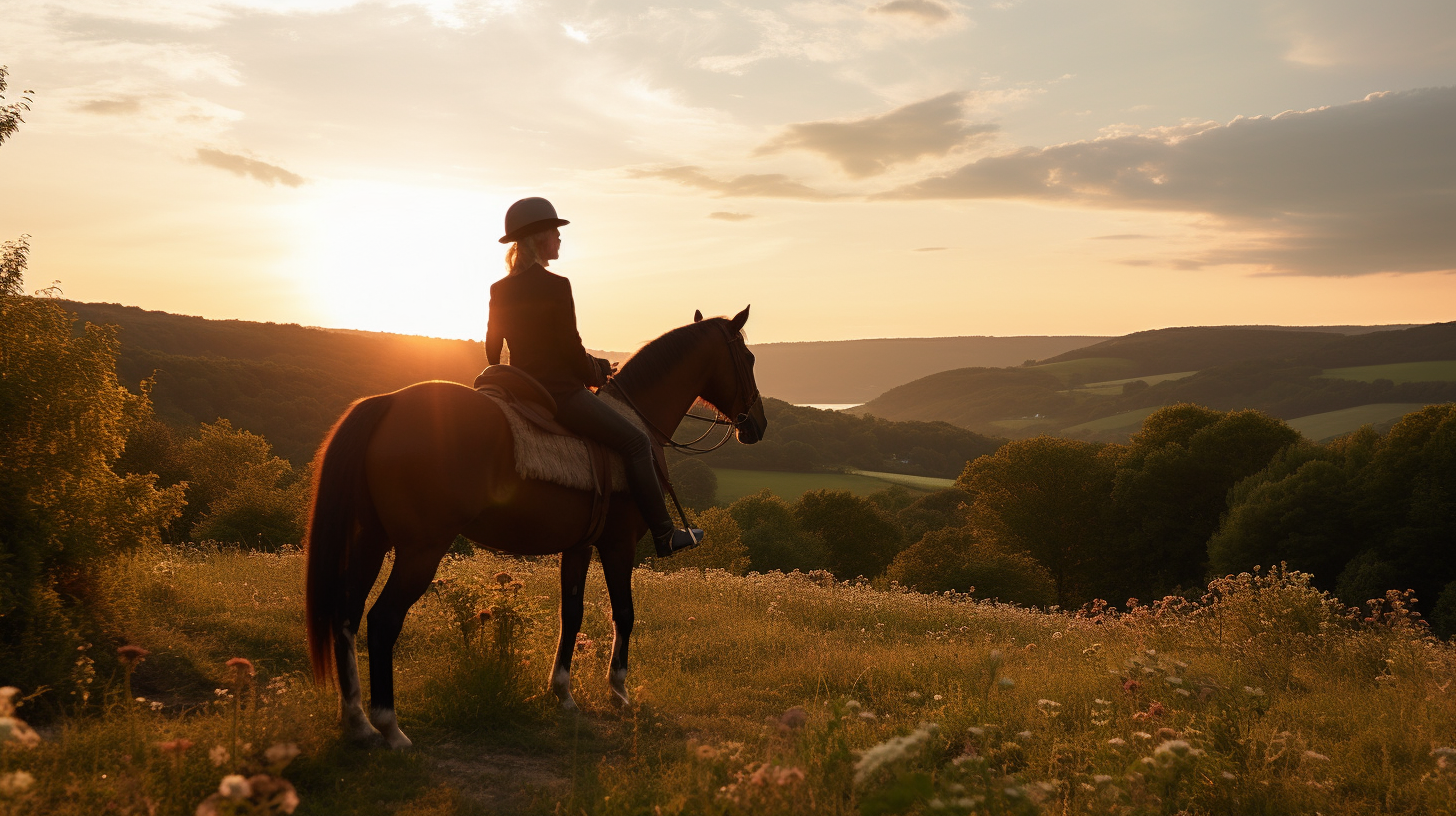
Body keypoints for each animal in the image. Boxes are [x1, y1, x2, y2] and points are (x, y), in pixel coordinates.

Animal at [302, 307, 768, 751]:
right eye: (748, 358)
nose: (758, 425)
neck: (638, 422)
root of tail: (388, 403)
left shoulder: (580, 547)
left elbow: (572, 613)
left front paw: (562, 692)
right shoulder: (618, 545)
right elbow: (624, 613)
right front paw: (618, 691)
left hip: (371, 541)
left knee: (346, 615)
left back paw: (357, 721)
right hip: (420, 550)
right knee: (382, 621)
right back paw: (390, 727)